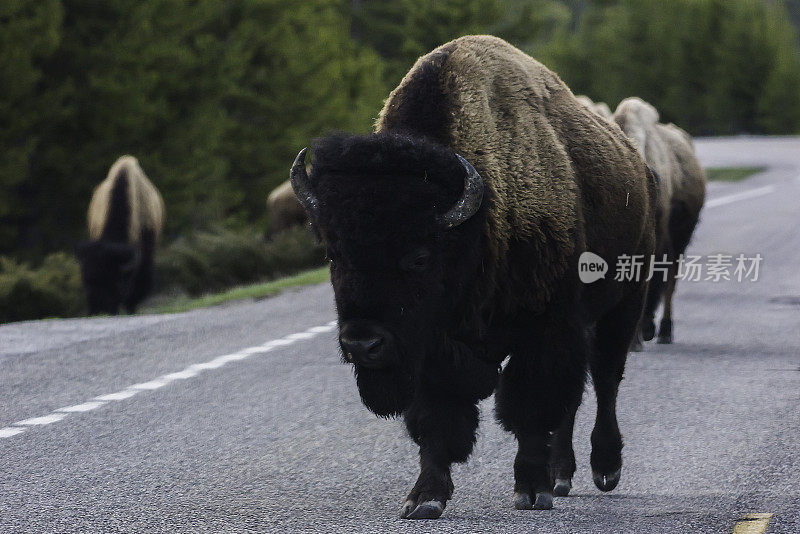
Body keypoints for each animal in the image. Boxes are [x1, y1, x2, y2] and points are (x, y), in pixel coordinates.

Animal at [290, 36, 660, 520]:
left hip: (623, 301)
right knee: (574, 399)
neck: (476, 224)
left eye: (420, 258)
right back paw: (562, 474)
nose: (362, 344)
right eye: (334, 253)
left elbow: (528, 407)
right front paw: (424, 497)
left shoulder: (543, 329)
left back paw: (603, 469)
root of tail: (639, 166)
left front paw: (531, 491)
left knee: (604, 381)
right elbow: (437, 421)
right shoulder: (429, 349)